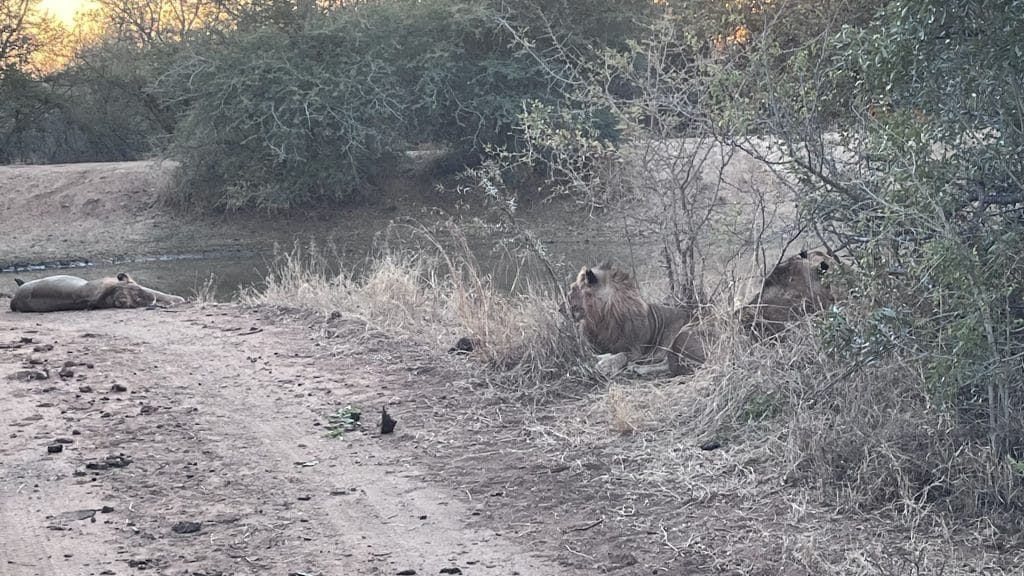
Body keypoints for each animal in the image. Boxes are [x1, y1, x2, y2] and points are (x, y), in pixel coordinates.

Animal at [569, 262, 704, 375]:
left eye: (573, 288)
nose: (565, 304)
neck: (601, 317)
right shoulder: (594, 346)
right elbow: (602, 353)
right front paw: (588, 362)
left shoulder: (636, 350)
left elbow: (622, 354)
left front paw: (605, 366)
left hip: (680, 336)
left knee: (675, 364)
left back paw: (636, 368)